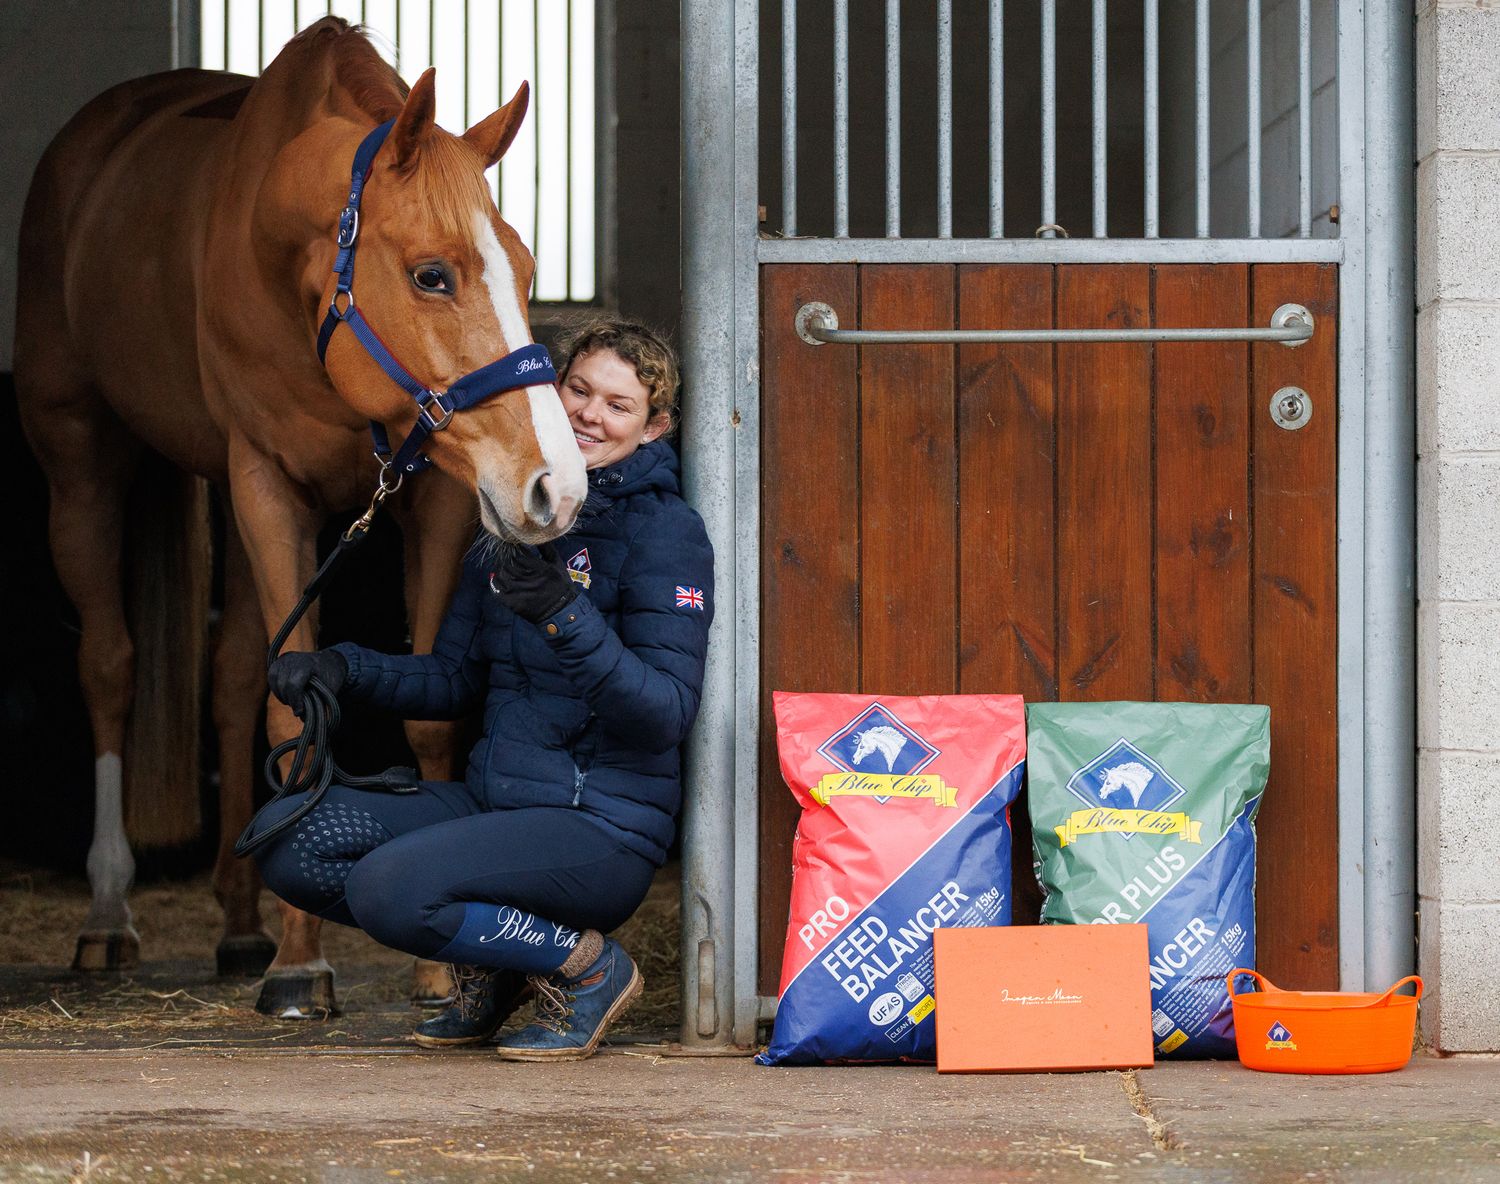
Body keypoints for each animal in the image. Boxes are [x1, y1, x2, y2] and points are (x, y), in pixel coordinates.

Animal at [13, 18, 586, 1017]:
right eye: (431, 274)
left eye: (525, 271)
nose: (558, 485)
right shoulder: (267, 487)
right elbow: (292, 716)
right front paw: (299, 966)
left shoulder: (437, 494)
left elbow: (417, 713)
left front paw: (432, 968)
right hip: (81, 462)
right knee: (111, 666)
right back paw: (110, 914)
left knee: (234, 673)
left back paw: (242, 924)